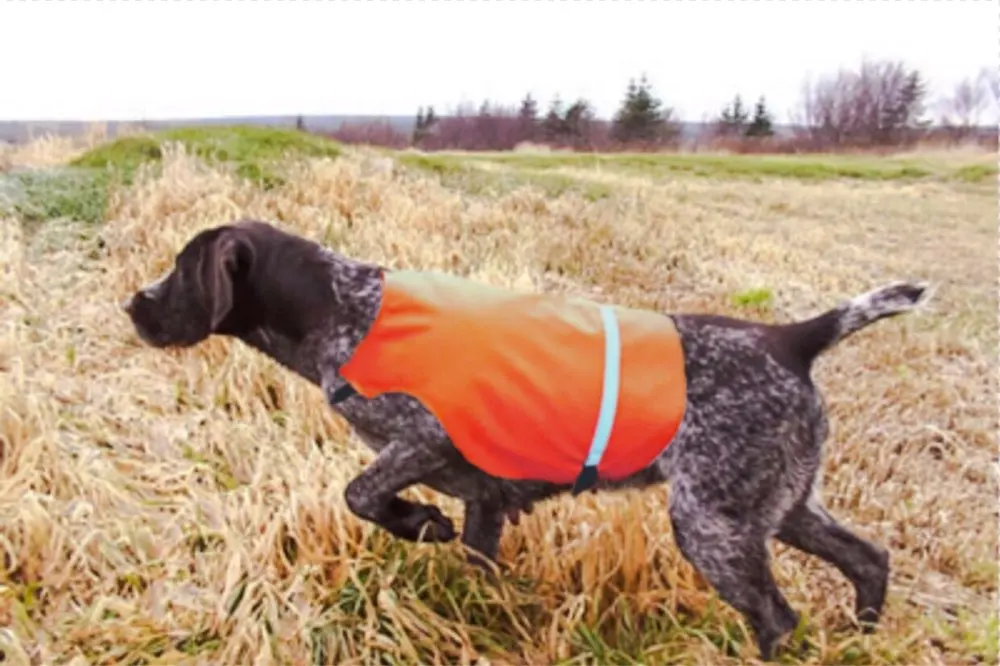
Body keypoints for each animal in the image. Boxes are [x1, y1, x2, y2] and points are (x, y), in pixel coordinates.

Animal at [123, 219, 928, 660]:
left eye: (179, 270)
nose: (132, 304)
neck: (341, 310)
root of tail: (793, 339)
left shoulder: (422, 438)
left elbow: (360, 492)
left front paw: (418, 523)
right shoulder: (486, 500)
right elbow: (477, 567)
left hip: (713, 525)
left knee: (777, 617)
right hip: (780, 507)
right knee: (870, 559)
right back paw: (863, 634)